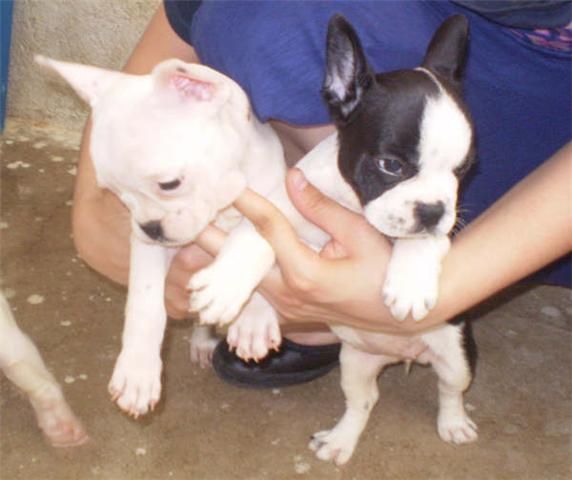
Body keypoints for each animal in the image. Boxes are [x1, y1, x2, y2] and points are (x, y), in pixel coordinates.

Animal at [36, 55, 286, 416]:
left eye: (169, 184)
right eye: (116, 194)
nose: (149, 228)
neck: (222, 202)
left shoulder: (277, 200)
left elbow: (255, 236)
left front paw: (249, 314)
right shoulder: (150, 249)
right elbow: (146, 301)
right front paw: (137, 371)